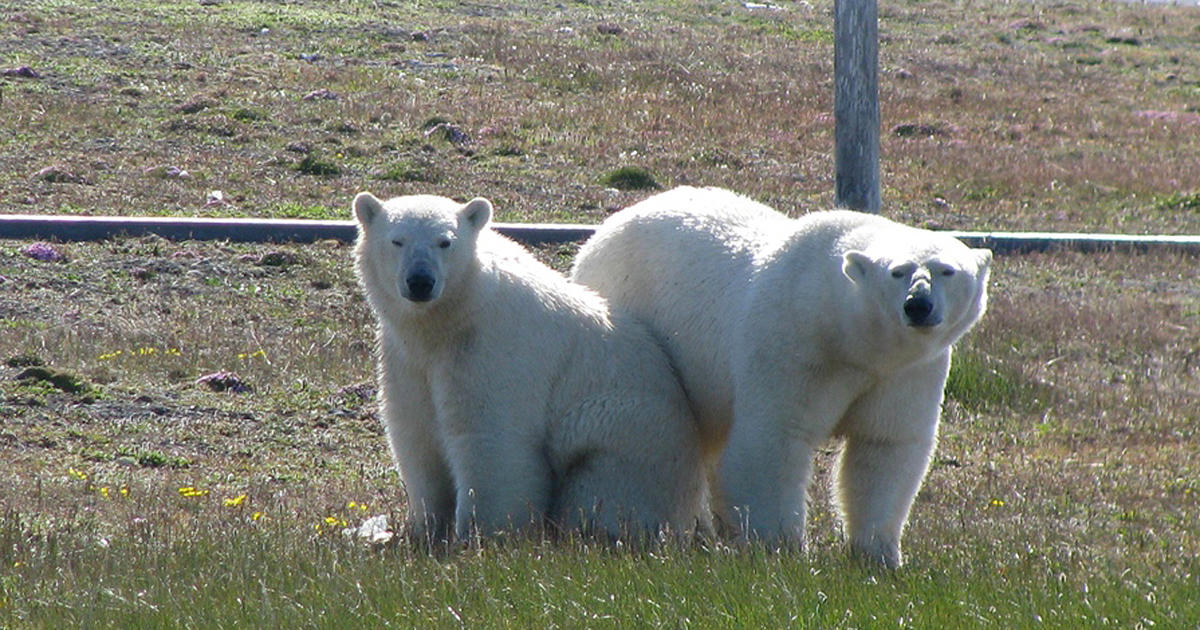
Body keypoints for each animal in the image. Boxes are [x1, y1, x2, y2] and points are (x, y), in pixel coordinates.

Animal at [350, 190, 705, 540]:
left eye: (445, 241)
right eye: (397, 241)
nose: (420, 281)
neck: (452, 318)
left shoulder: (490, 350)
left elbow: (489, 438)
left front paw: (480, 534)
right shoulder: (406, 357)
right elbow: (415, 434)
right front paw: (424, 529)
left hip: (627, 433)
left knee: (603, 491)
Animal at [573, 186, 993, 564]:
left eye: (946, 270)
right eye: (897, 271)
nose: (918, 305)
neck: (847, 335)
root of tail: (605, 228)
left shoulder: (906, 371)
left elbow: (885, 446)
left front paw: (879, 554)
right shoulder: (792, 343)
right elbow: (773, 439)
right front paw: (781, 547)